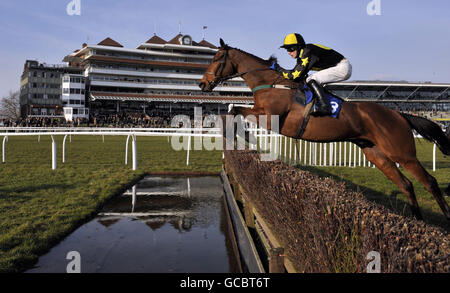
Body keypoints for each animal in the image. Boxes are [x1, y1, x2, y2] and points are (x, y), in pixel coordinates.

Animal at [200, 38, 450, 221]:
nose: (202, 84)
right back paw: (418, 220)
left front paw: (240, 135)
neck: (271, 83)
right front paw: (240, 136)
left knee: (430, 182)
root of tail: (398, 114)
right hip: (377, 154)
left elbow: (234, 111)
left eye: (217, 58)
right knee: (407, 185)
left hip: (403, 153)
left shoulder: (270, 116)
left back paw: (444, 216)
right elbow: (233, 110)